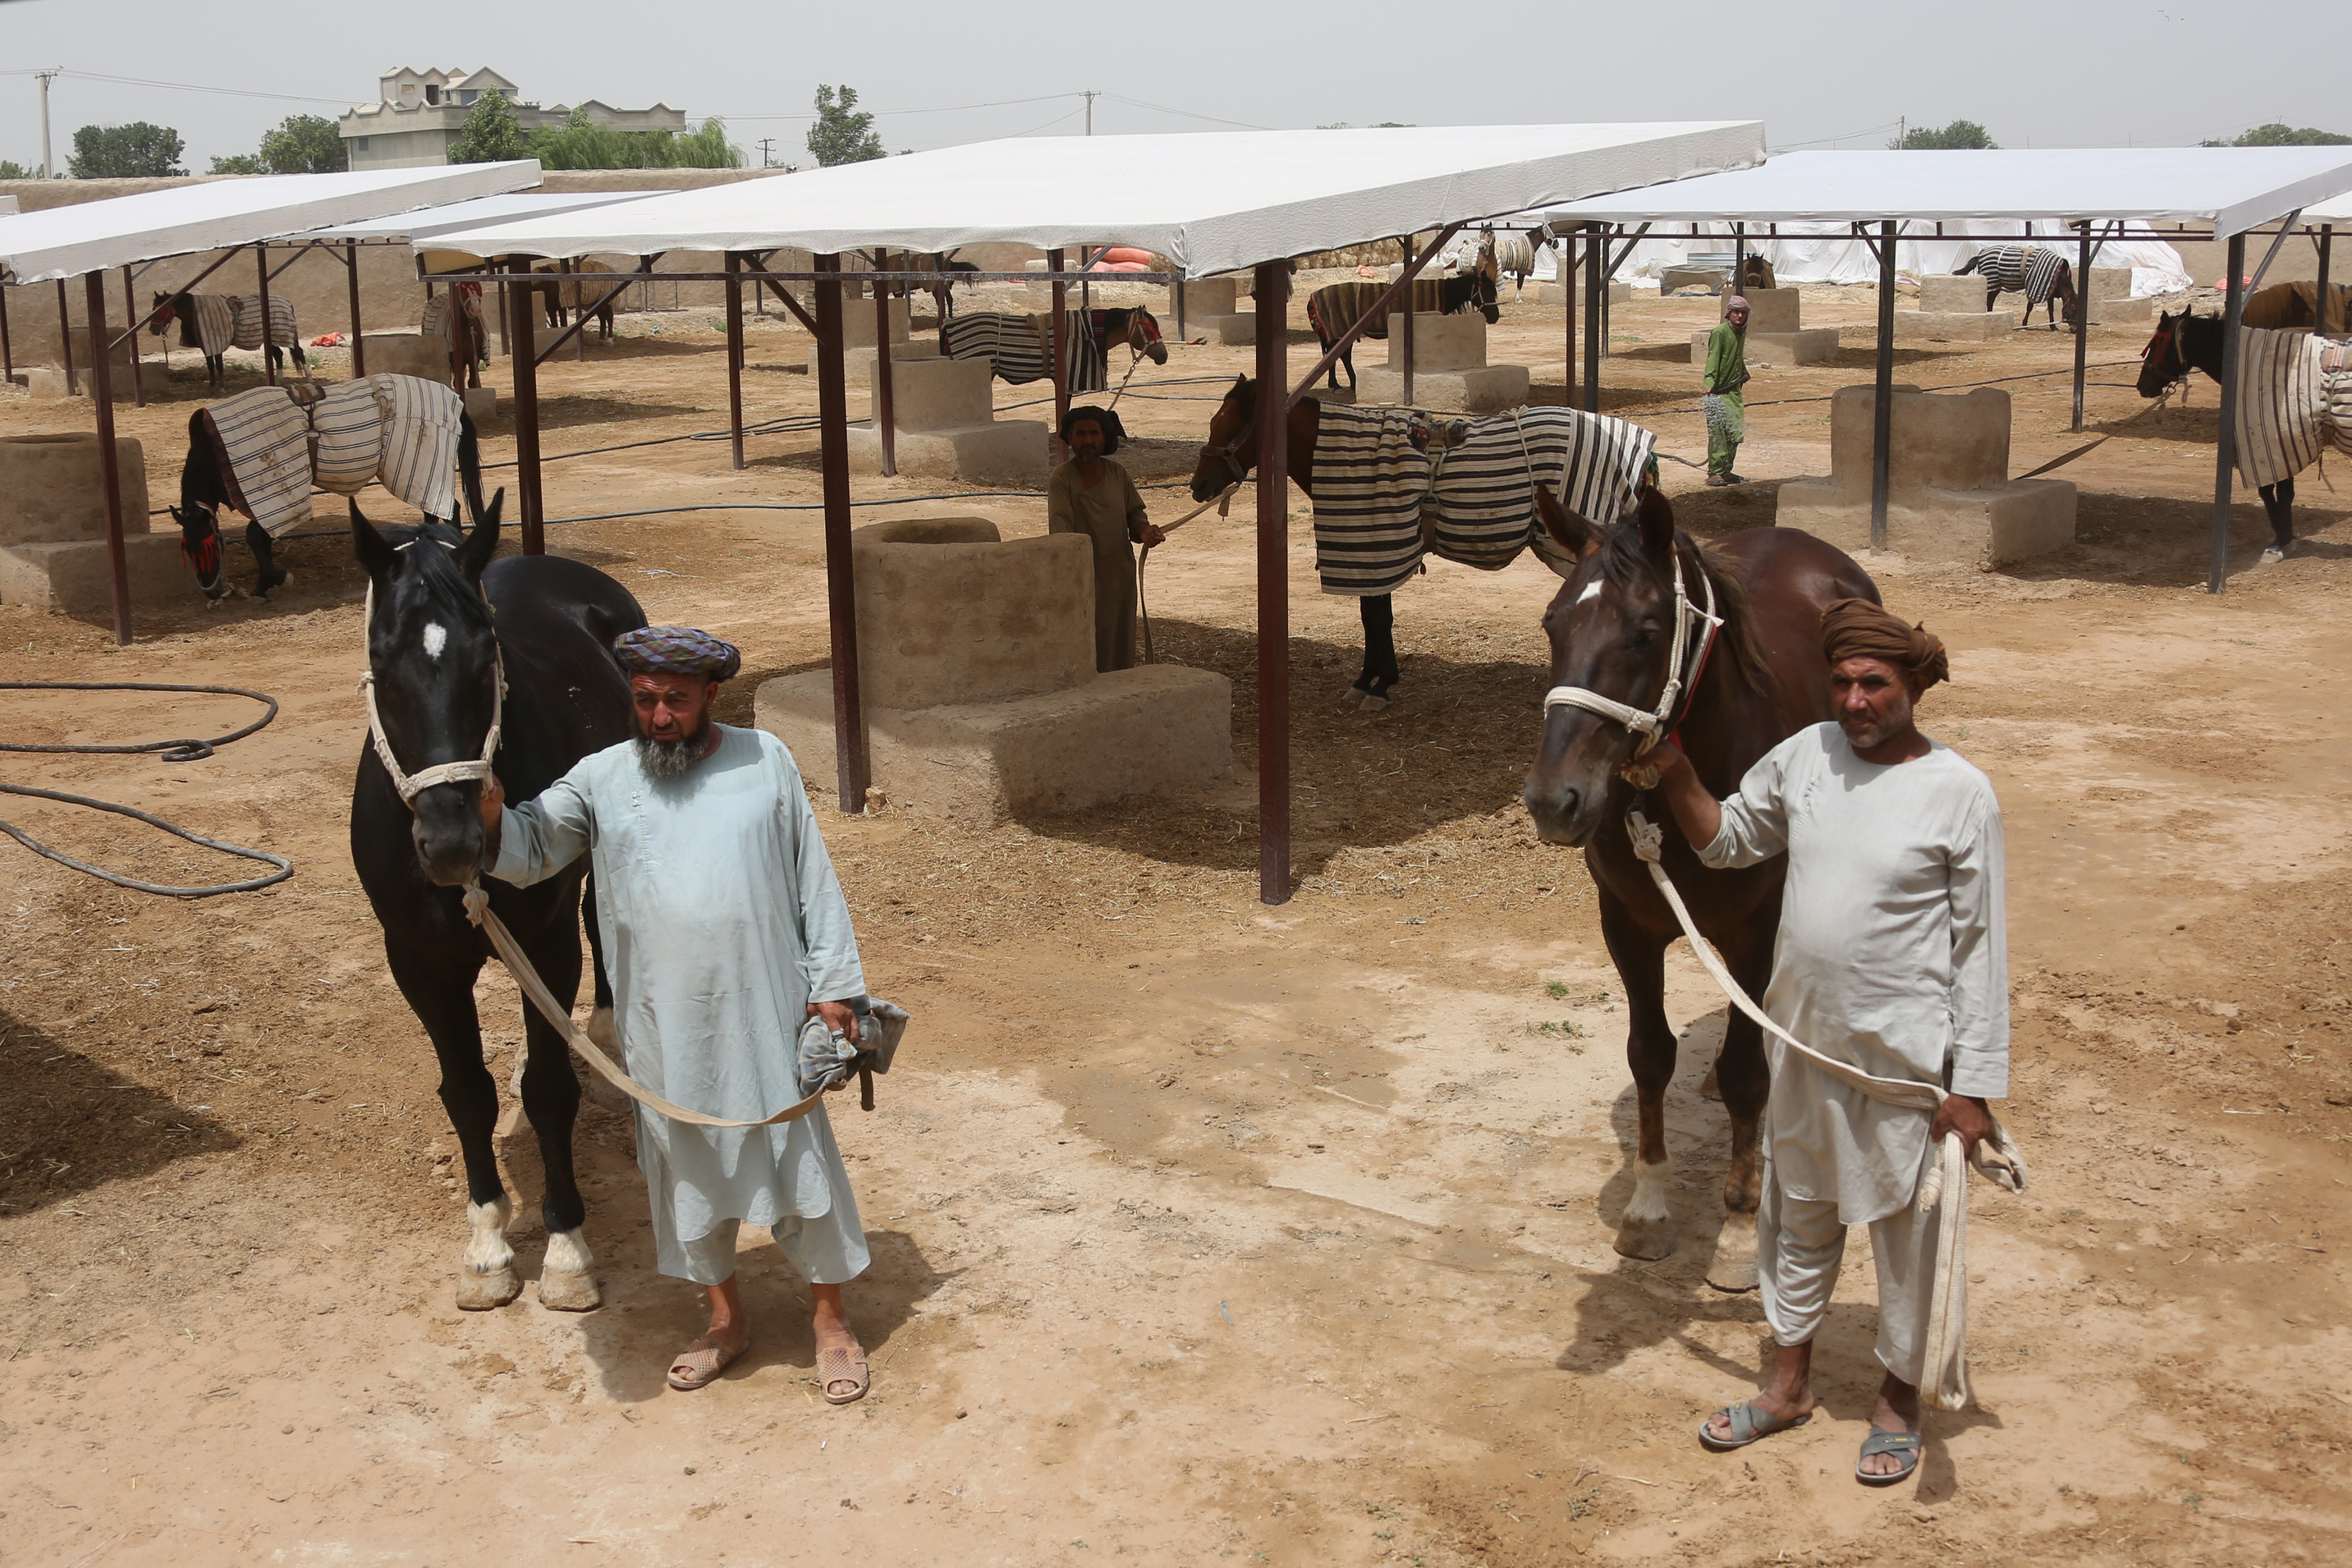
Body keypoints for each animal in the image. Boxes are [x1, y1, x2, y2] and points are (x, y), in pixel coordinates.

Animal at [350, 500, 644, 1316]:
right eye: (382, 665)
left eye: (488, 662)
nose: (452, 843)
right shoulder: (420, 963)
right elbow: (467, 1095)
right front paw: (486, 1247)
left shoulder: (544, 942)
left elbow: (549, 1092)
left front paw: (568, 1250)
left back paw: (604, 1045)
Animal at [1515, 486, 1881, 1288]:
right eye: (1552, 623)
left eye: (1647, 633)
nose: (1555, 801)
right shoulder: (1627, 924)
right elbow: (1650, 1056)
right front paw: (1649, 1212)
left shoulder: (1758, 928)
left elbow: (1747, 1074)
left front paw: (1741, 1233)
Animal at [2145, 308, 2305, 557]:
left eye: (2157, 343)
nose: (2141, 384)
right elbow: (2284, 492)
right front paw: (2285, 539)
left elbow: (2271, 491)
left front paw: (2281, 540)